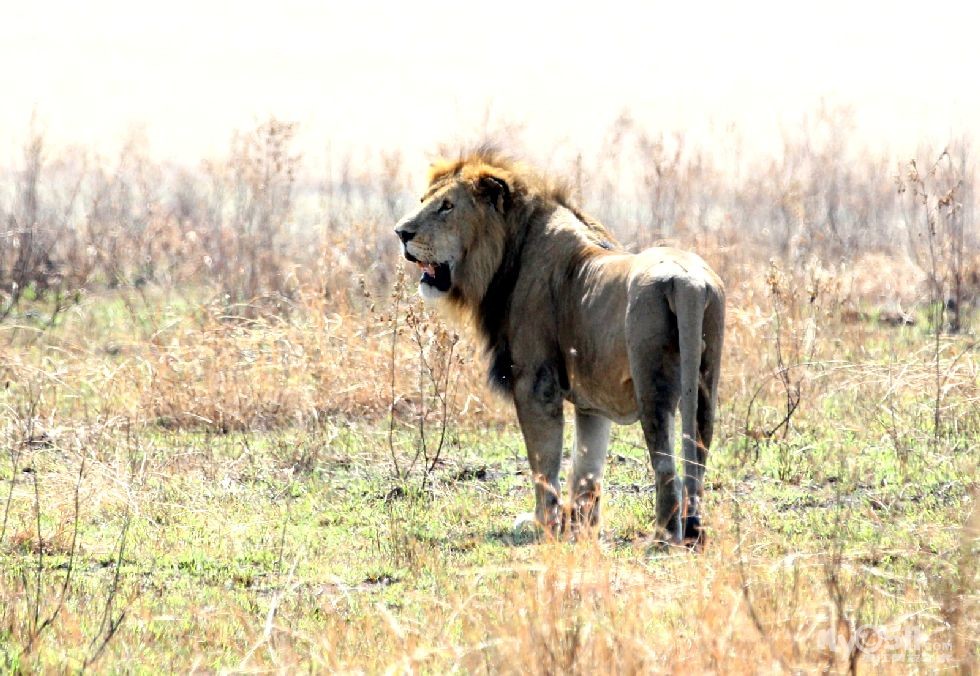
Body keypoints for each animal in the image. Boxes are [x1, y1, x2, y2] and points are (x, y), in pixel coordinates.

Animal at [394, 148, 724, 544]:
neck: (510, 250)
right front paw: (583, 528)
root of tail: (688, 282)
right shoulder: (591, 401)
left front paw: (543, 525)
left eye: (447, 206)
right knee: (698, 455)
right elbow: (586, 468)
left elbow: (544, 462)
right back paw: (693, 531)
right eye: (423, 201)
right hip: (705, 381)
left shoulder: (536, 384)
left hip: (652, 384)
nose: (401, 233)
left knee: (665, 463)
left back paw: (663, 537)